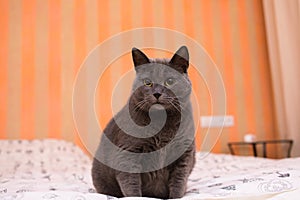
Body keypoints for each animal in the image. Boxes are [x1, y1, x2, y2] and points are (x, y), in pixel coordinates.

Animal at [91, 46, 196, 198]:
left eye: (170, 81)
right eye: (147, 82)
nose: (157, 93)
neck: (161, 122)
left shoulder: (184, 153)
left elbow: (179, 181)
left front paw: (175, 197)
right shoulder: (128, 152)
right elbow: (131, 183)